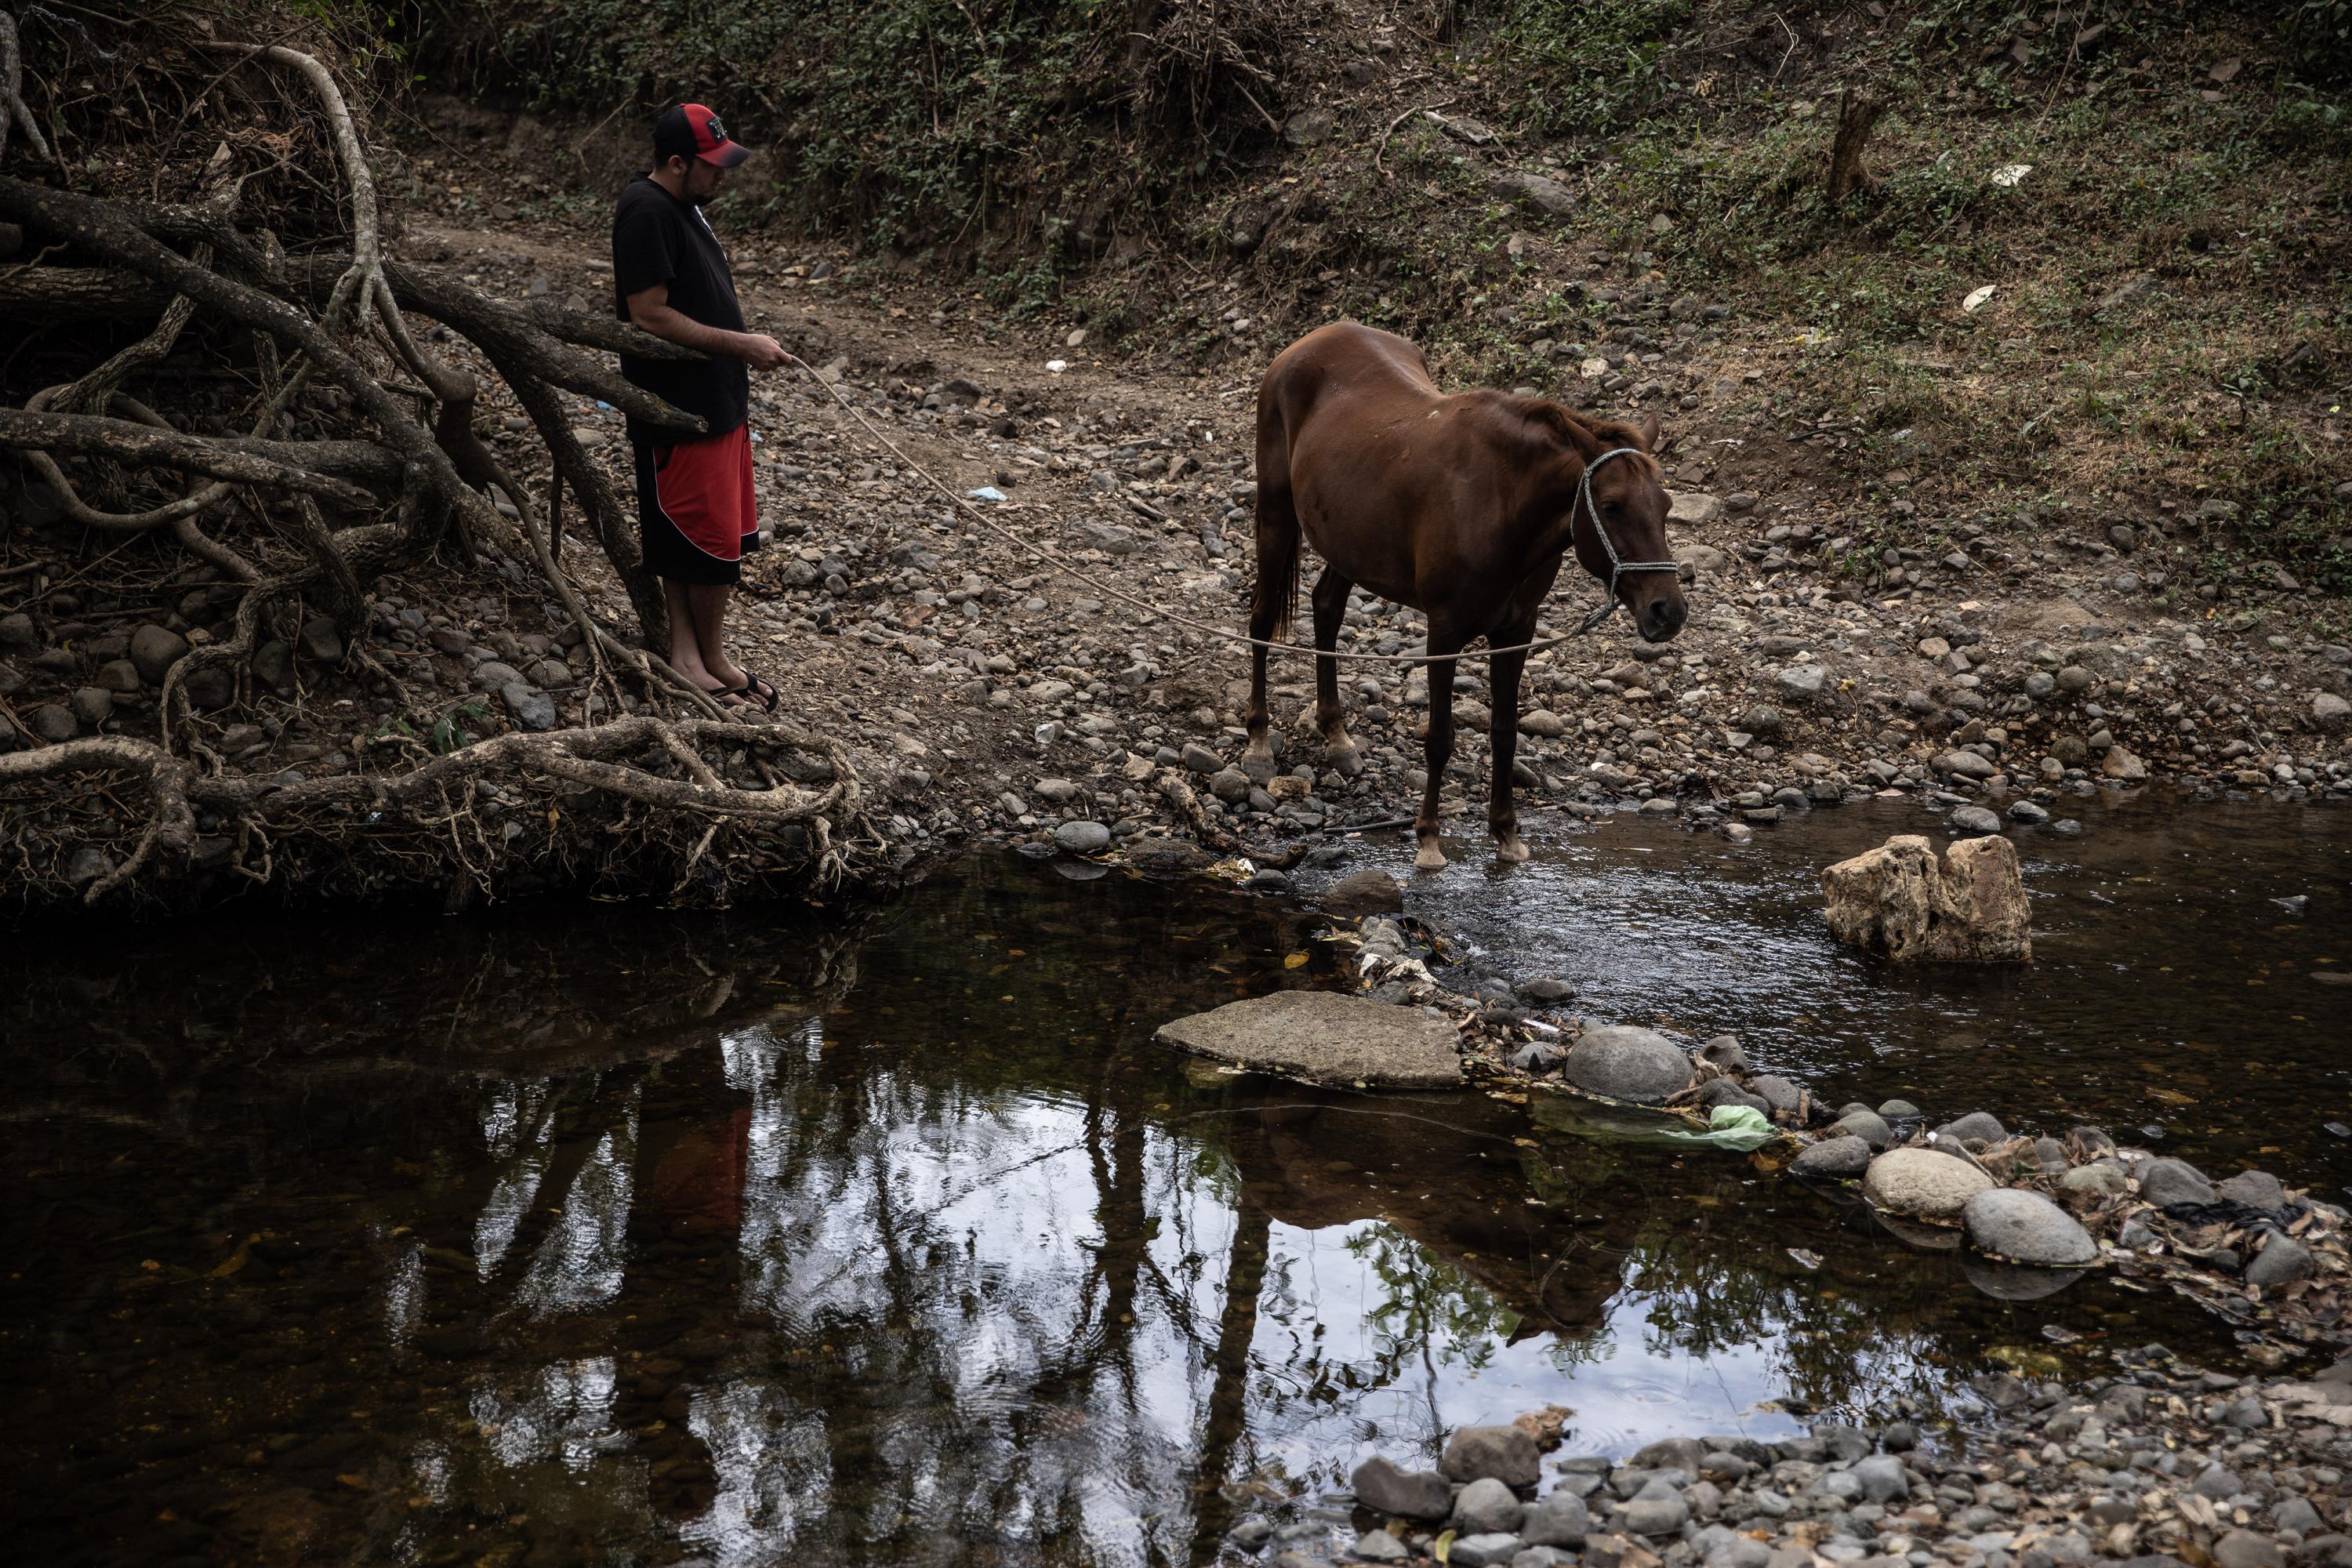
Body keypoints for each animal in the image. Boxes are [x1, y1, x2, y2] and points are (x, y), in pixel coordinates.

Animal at [1242, 321, 1684, 869]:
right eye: (1612, 505)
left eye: (1666, 505)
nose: (1668, 611)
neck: (1499, 503)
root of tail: (1305, 344)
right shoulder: (1444, 631)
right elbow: (1440, 738)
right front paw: (1429, 838)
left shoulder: (1517, 631)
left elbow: (1504, 732)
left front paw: (1507, 833)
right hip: (1277, 513)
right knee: (1262, 620)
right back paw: (1258, 742)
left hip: (1348, 542)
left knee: (1326, 609)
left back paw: (1338, 735)